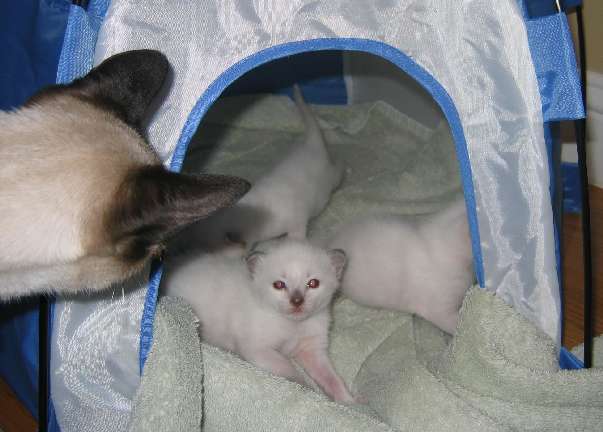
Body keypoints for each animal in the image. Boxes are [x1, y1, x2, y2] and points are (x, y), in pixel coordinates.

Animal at [163, 238, 356, 404]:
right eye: (279, 285)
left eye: (313, 283)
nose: (297, 301)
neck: (293, 325)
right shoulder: (257, 349)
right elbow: (288, 367)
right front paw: (308, 388)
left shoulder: (312, 349)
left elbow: (332, 377)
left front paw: (348, 401)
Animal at [176, 85, 344, 251]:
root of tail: (311, 144)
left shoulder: (296, 217)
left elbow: (298, 231)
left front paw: (294, 242)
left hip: (330, 179)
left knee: (337, 173)